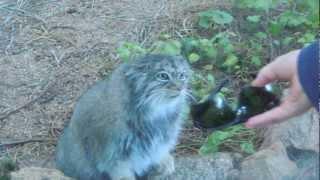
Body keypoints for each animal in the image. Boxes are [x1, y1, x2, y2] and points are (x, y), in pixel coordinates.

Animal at [55, 54, 192, 179]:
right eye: (163, 76)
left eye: (182, 75)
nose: (181, 88)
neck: (155, 115)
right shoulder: (112, 153)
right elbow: (120, 171)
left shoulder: (160, 141)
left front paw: (163, 161)